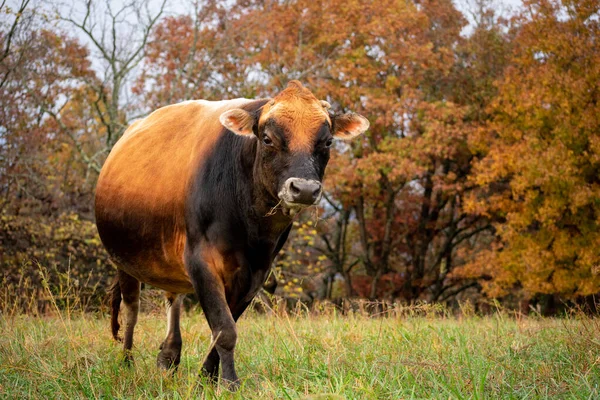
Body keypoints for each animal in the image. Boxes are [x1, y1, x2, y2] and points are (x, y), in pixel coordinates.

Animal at [94, 81, 368, 388]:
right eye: (267, 139)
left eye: (328, 142)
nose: (305, 189)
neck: (251, 229)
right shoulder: (200, 260)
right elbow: (224, 329)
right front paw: (229, 382)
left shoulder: (257, 272)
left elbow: (227, 325)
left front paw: (207, 377)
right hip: (123, 260)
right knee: (131, 310)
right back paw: (127, 363)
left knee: (173, 297)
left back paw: (169, 357)